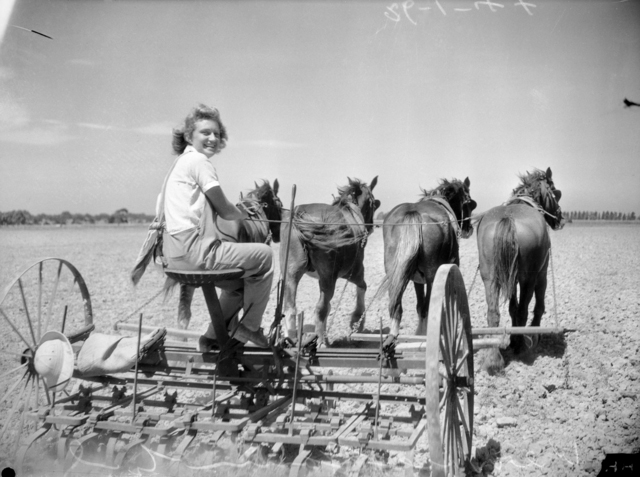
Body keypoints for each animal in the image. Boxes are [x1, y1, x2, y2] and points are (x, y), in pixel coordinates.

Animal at [280, 177, 380, 344]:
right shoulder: (355, 271)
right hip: (329, 277)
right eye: (372, 202)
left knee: (290, 308)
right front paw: (356, 322)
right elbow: (362, 287)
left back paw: (291, 339)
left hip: (291, 273)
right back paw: (321, 341)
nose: (372, 226)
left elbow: (329, 307)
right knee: (320, 308)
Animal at [380, 178, 476, 338]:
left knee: (397, 306)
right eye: (470, 203)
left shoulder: (417, 279)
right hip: (433, 275)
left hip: (395, 274)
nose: (469, 229)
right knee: (427, 306)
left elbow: (419, 306)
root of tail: (413, 213)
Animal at [476, 166, 564, 372]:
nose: (560, 217)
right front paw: (533, 335)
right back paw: (522, 347)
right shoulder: (541, 273)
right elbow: (537, 305)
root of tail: (508, 218)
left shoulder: (511, 278)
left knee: (493, 313)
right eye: (555, 191)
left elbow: (512, 308)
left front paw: (512, 339)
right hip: (528, 279)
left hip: (490, 277)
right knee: (525, 309)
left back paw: (494, 358)